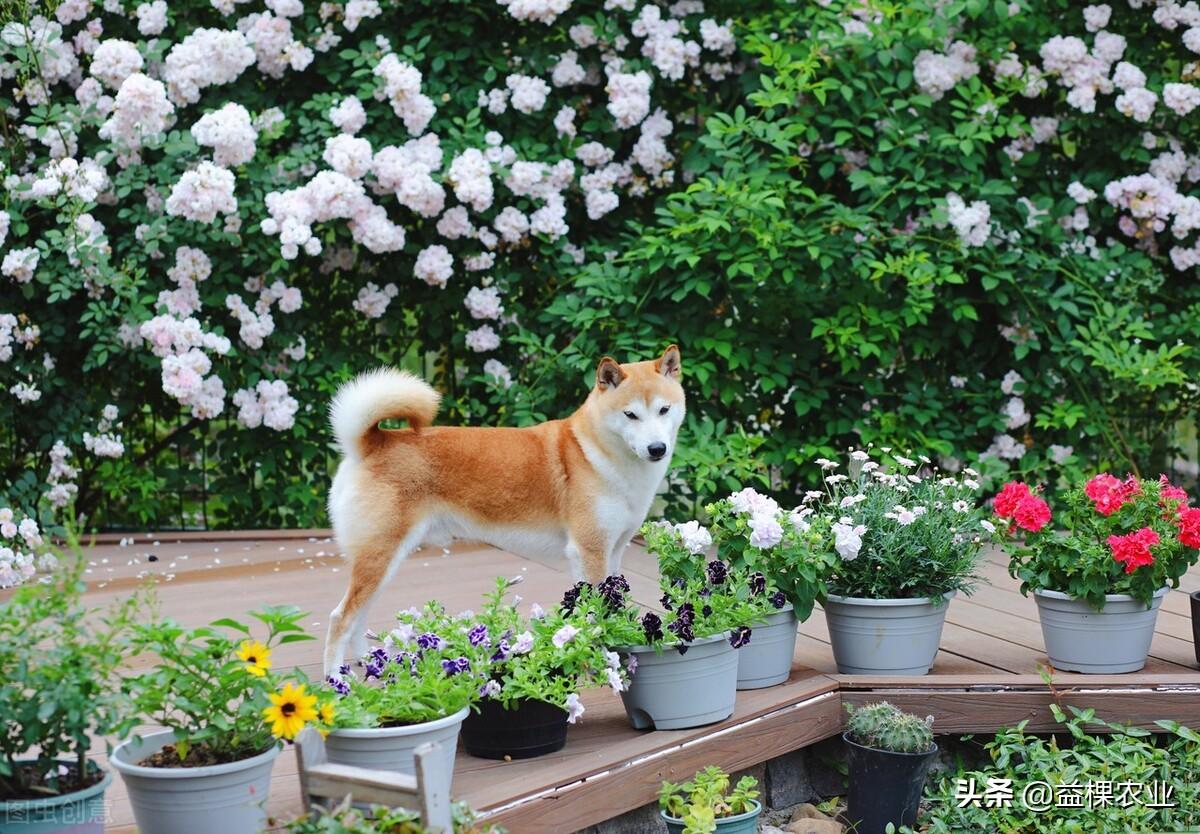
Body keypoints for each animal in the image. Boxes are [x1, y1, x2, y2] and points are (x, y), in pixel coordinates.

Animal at [324, 343, 686, 676]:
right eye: (630, 415)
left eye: (664, 410)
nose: (657, 448)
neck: (595, 454)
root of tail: (372, 443)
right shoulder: (589, 550)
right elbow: (595, 612)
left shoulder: (614, 551)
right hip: (380, 557)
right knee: (340, 618)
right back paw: (336, 681)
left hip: (383, 562)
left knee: (359, 617)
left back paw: (371, 664)